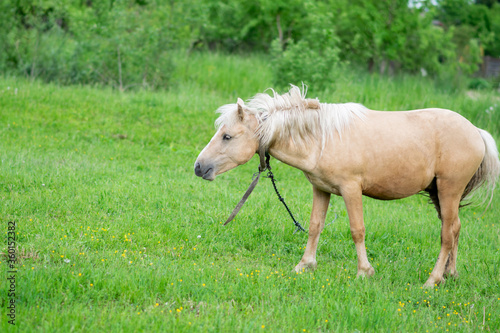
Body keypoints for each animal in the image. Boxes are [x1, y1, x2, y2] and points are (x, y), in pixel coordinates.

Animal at [195, 85, 500, 286]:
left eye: (226, 136)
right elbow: (315, 226)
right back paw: (450, 274)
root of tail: (476, 132)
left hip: (449, 190)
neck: (322, 138)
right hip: (439, 193)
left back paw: (432, 280)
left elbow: (357, 230)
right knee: (454, 228)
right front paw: (304, 265)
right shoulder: (321, 190)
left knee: (447, 235)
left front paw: (364, 271)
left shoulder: (351, 190)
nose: (199, 167)